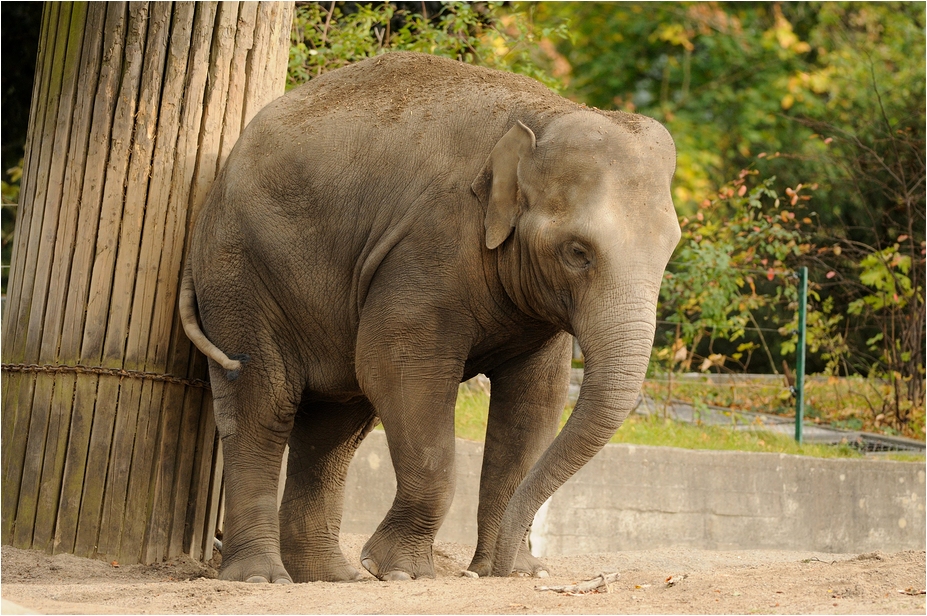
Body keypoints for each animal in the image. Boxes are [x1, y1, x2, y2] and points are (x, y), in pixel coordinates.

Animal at [179, 51, 680, 584]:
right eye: (577, 252)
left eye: (670, 250)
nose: (498, 571)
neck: (544, 115)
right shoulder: (427, 245)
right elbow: (398, 370)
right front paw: (401, 572)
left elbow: (536, 400)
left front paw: (515, 572)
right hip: (238, 273)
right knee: (264, 405)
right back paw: (263, 577)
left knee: (335, 424)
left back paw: (331, 576)